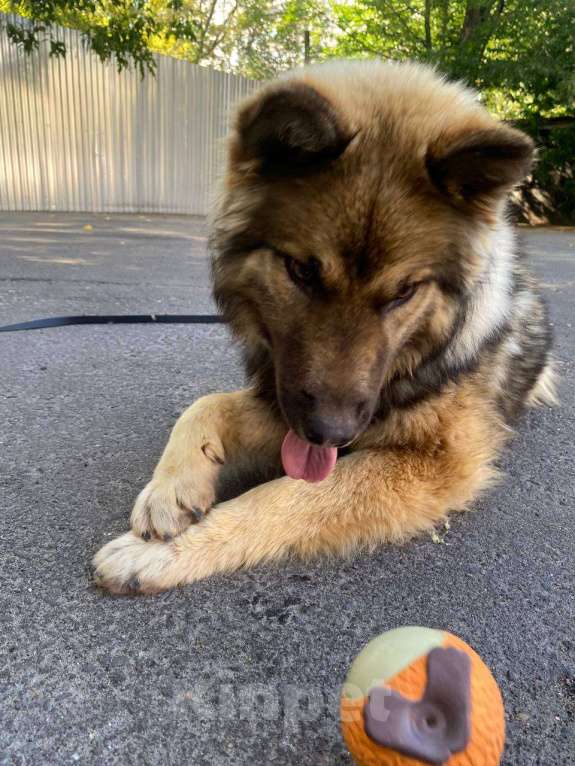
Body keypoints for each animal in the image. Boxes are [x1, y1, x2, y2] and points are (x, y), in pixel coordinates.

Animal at [92, 61, 556, 600]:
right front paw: (169, 489)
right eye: (301, 272)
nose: (331, 432)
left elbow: (284, 497)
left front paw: (163, 553)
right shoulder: (288, 401)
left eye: (404, 291)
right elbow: (206, 405)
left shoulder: (436, 460)